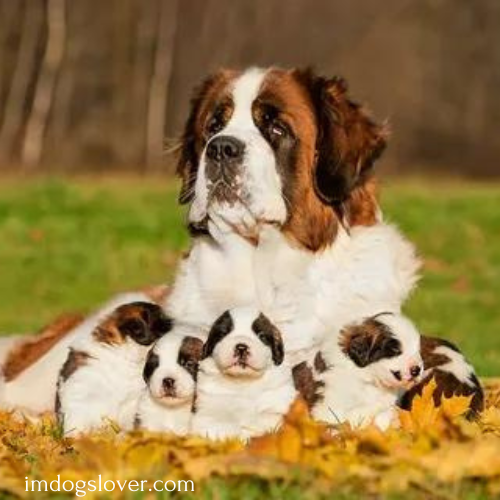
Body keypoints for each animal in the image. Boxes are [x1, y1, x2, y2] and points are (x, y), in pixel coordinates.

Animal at [189, 306, 294, 440]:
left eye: (262, 336)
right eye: (223, 334)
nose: (241, 347)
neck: (242, 382)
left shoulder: (275, 406)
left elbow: (265, 421)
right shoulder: (207, 412)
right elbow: (223, 428)